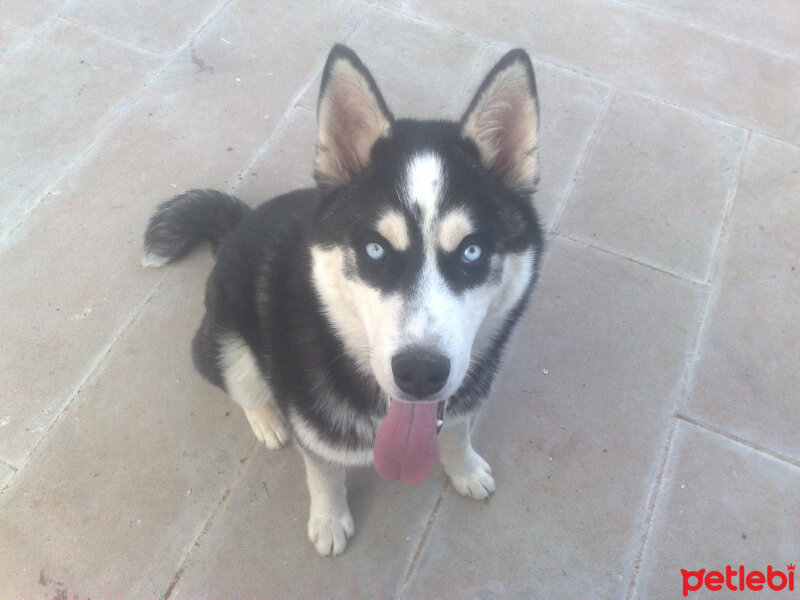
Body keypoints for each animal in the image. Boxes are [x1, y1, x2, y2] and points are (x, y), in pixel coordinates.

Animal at [142, 44, 544, 556]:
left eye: (472, 251)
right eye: (375, 250)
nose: (420, 374)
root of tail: (237, 226)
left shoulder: (461, 400)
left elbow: (456, 431)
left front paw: (465, 468)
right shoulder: (315, 433)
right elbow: (324, 474)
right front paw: (329, 520)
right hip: (226, 344)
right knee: (241, 381)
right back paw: (267, 418)